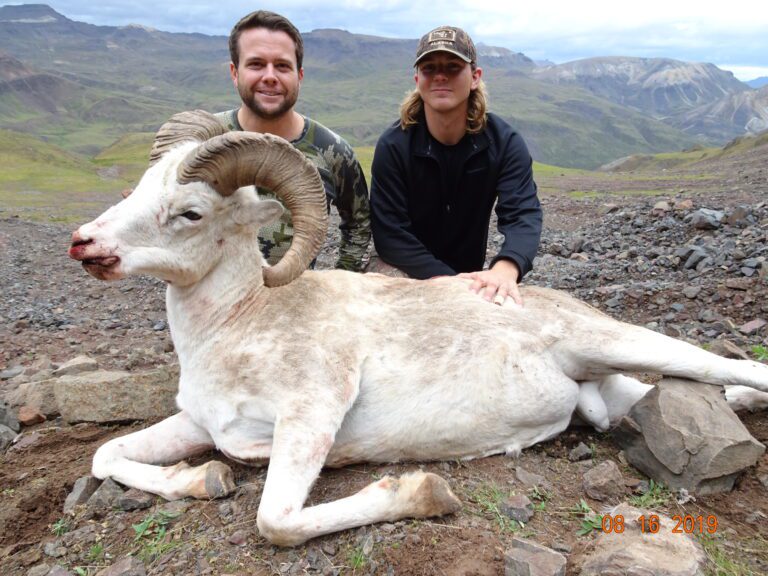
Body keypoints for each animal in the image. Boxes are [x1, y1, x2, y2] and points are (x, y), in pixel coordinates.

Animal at [69, 111, 764, 544]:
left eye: (190, 212)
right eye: (139, 186)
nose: (84, 243)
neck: (238, 325)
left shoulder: (312, 414)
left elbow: (275, 521)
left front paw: (426, 494)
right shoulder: (199, 424)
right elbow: (107, 456)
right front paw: (201, 479)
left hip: (621, 342)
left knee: (733, 366)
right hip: (613, 393)